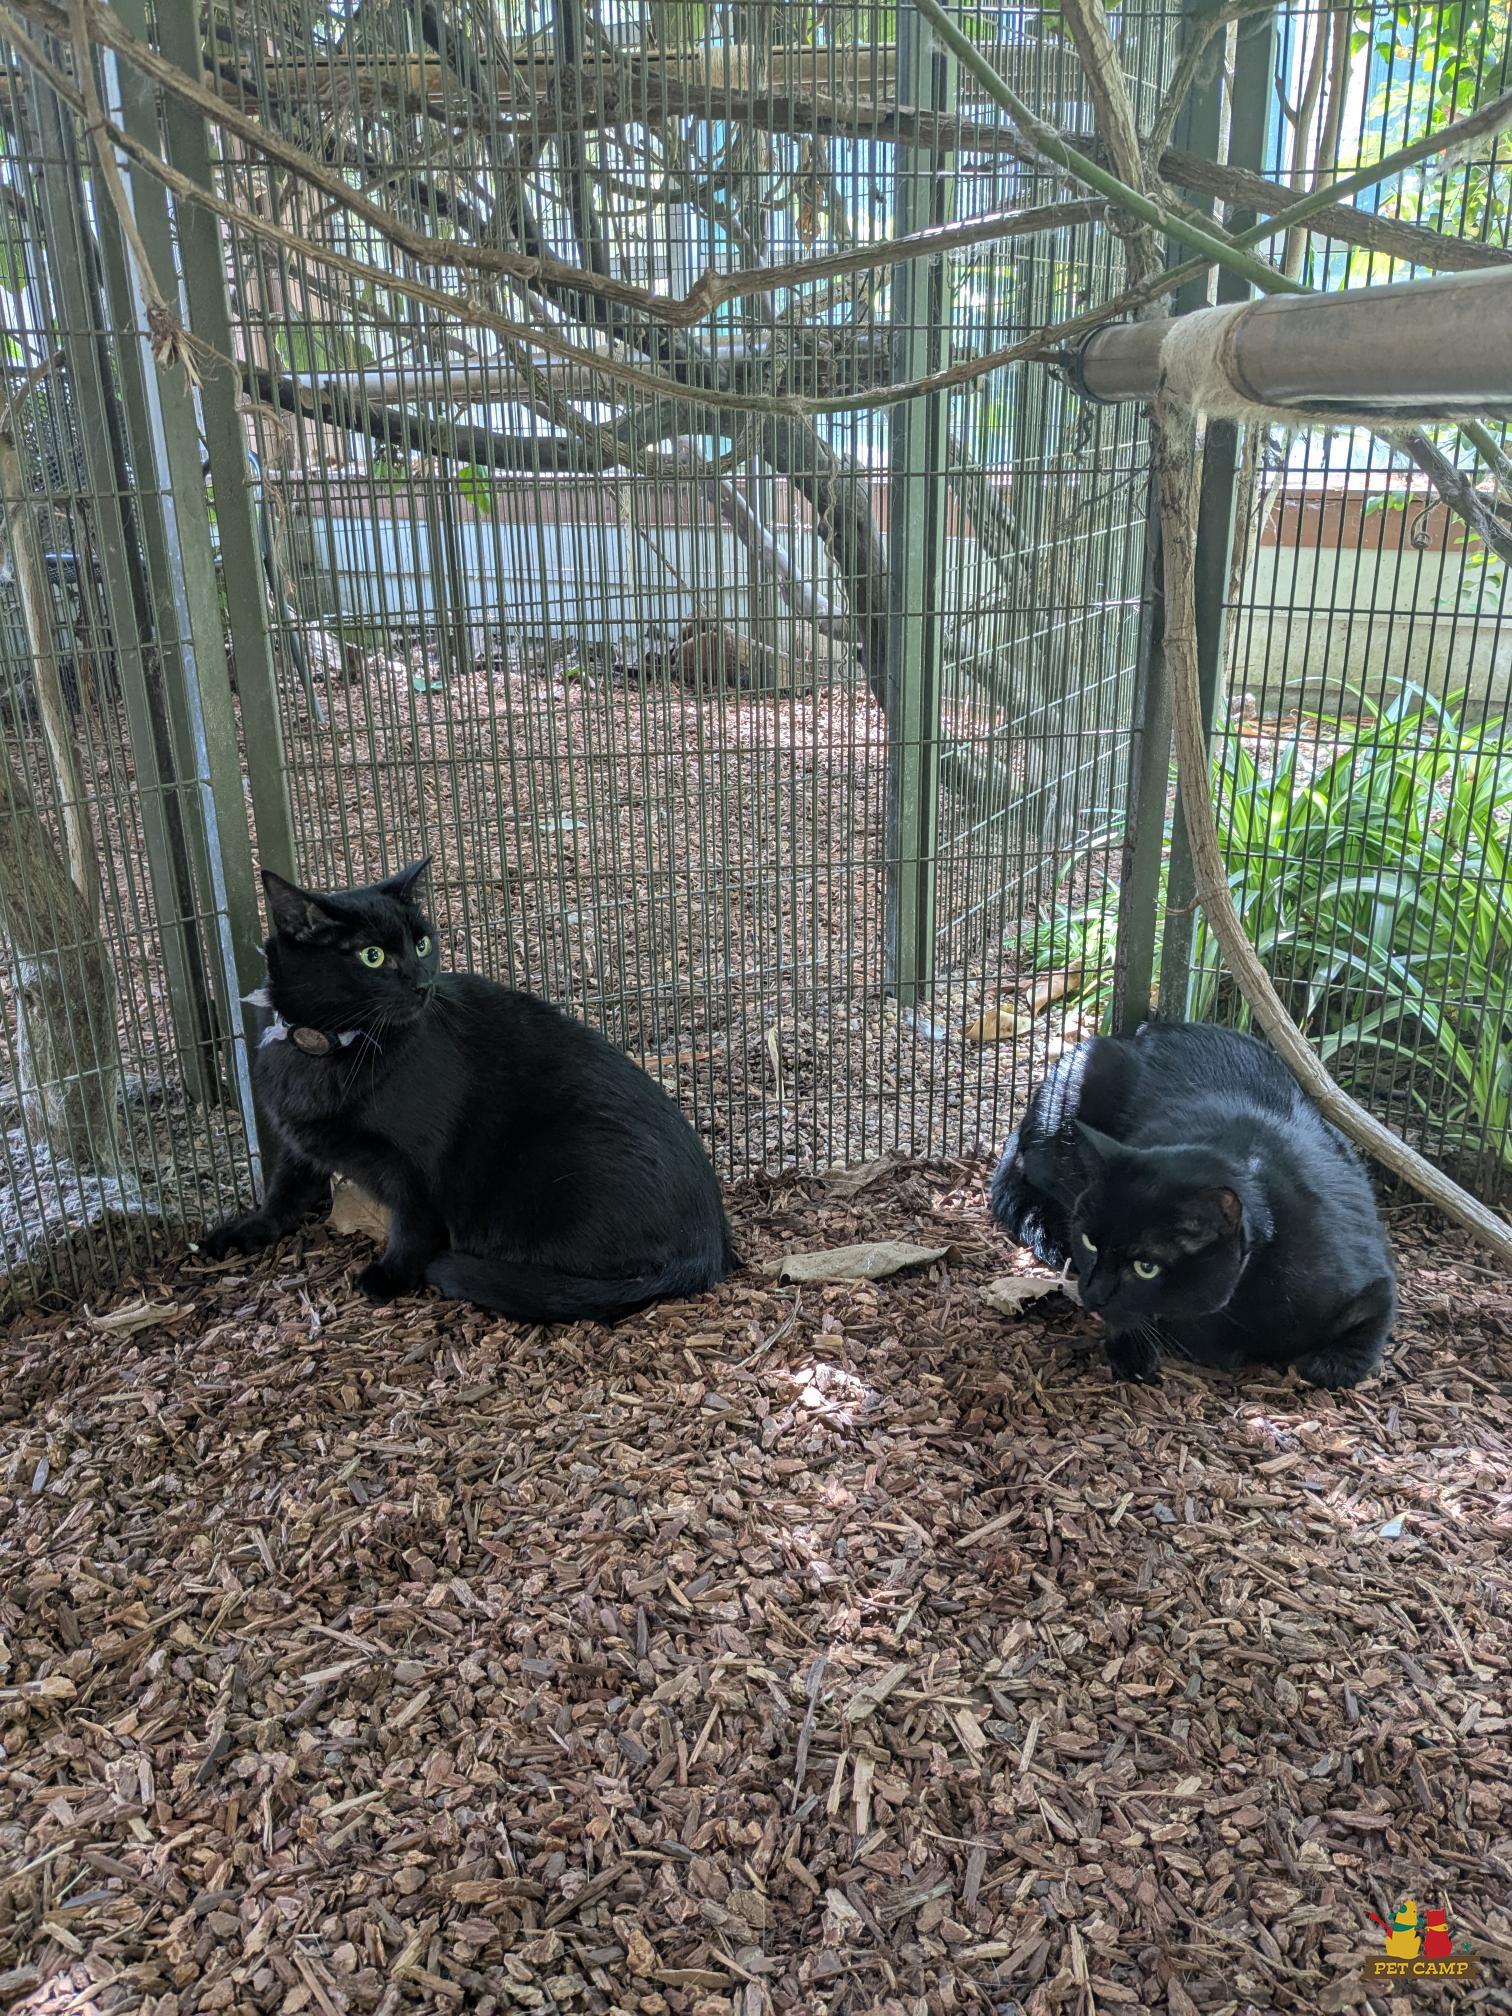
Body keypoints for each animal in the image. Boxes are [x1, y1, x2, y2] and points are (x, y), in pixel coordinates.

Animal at [202, 861, 735, 1321]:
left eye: (421, 944)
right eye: (372, 956)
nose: (423, 982)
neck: (327, 1047)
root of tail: (708, 1246)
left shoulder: (418, 1166)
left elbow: (412, 1224)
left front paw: (390, 1276)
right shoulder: (298, 1140)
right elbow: (284, 1191)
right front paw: (246, 1232)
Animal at [990, 1019, 1396, 1387]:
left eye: (1146, 1267)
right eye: (1090, 1242)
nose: (1092, 1294)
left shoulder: (1370, 1279)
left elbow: (1368, 1332)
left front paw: (1334, 1365)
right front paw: (1132, 1350)